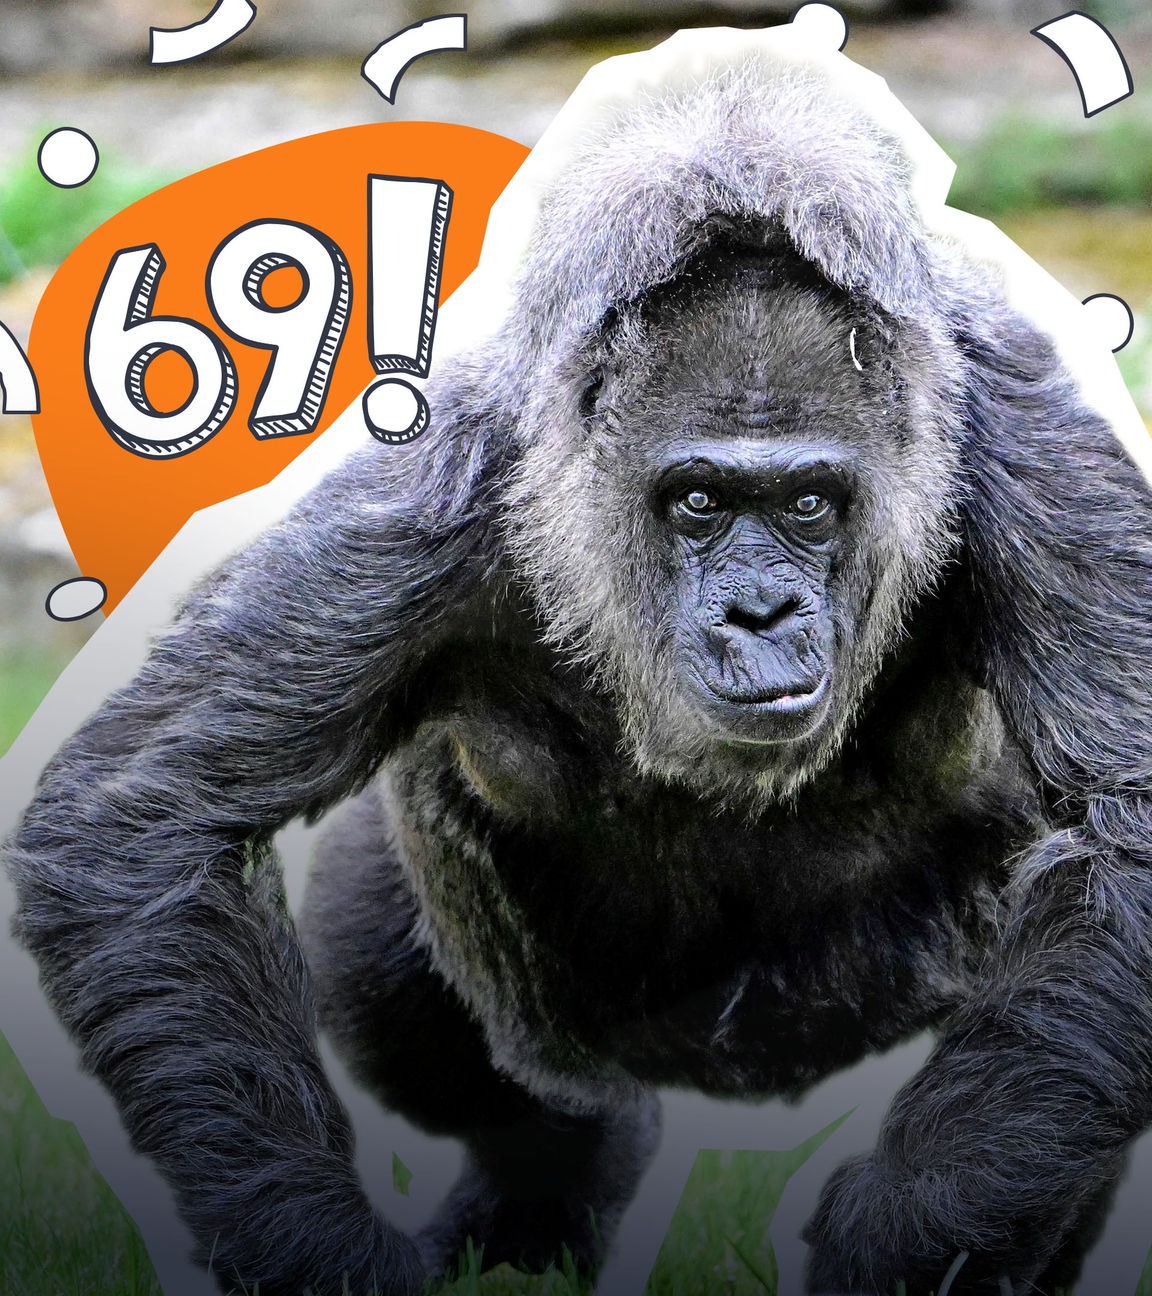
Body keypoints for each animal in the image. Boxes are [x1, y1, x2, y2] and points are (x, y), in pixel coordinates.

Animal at [9, 53, 1152, 1296]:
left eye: (808, 503)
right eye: (699, 500)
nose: (760, 614)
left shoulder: (1027, 440)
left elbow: (1128, 824)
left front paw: (920, 1226)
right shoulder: (438, 480)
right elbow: (149, 817)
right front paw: (313, 1249)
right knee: (406, 1007)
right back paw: (548, 1178)